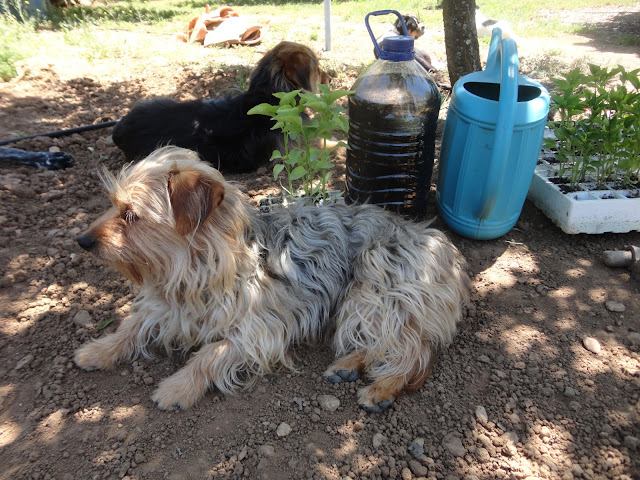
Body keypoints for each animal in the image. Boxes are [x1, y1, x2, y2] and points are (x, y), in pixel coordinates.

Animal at [110, 40, 328, 172]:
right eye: (317, 68)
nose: (330, 78)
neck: (270, 94)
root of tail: (119, 129)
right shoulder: (297, 152)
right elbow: (328, 145)